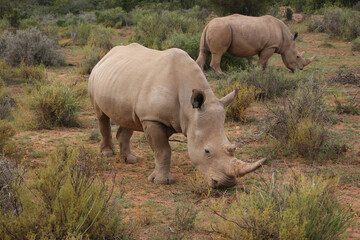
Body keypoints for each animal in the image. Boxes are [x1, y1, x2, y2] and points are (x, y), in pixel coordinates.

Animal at [88, 44, 266, 188]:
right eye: (207, 151)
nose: (227, 184)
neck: (189, 110)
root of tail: (106, 55)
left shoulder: (171, 119)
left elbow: (162, 149)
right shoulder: (152, 118)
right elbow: (163, 150)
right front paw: (161, 181)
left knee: (128, 119)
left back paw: (130, 159)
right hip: (95, 76)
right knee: (101, 116)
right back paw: (107, 154)